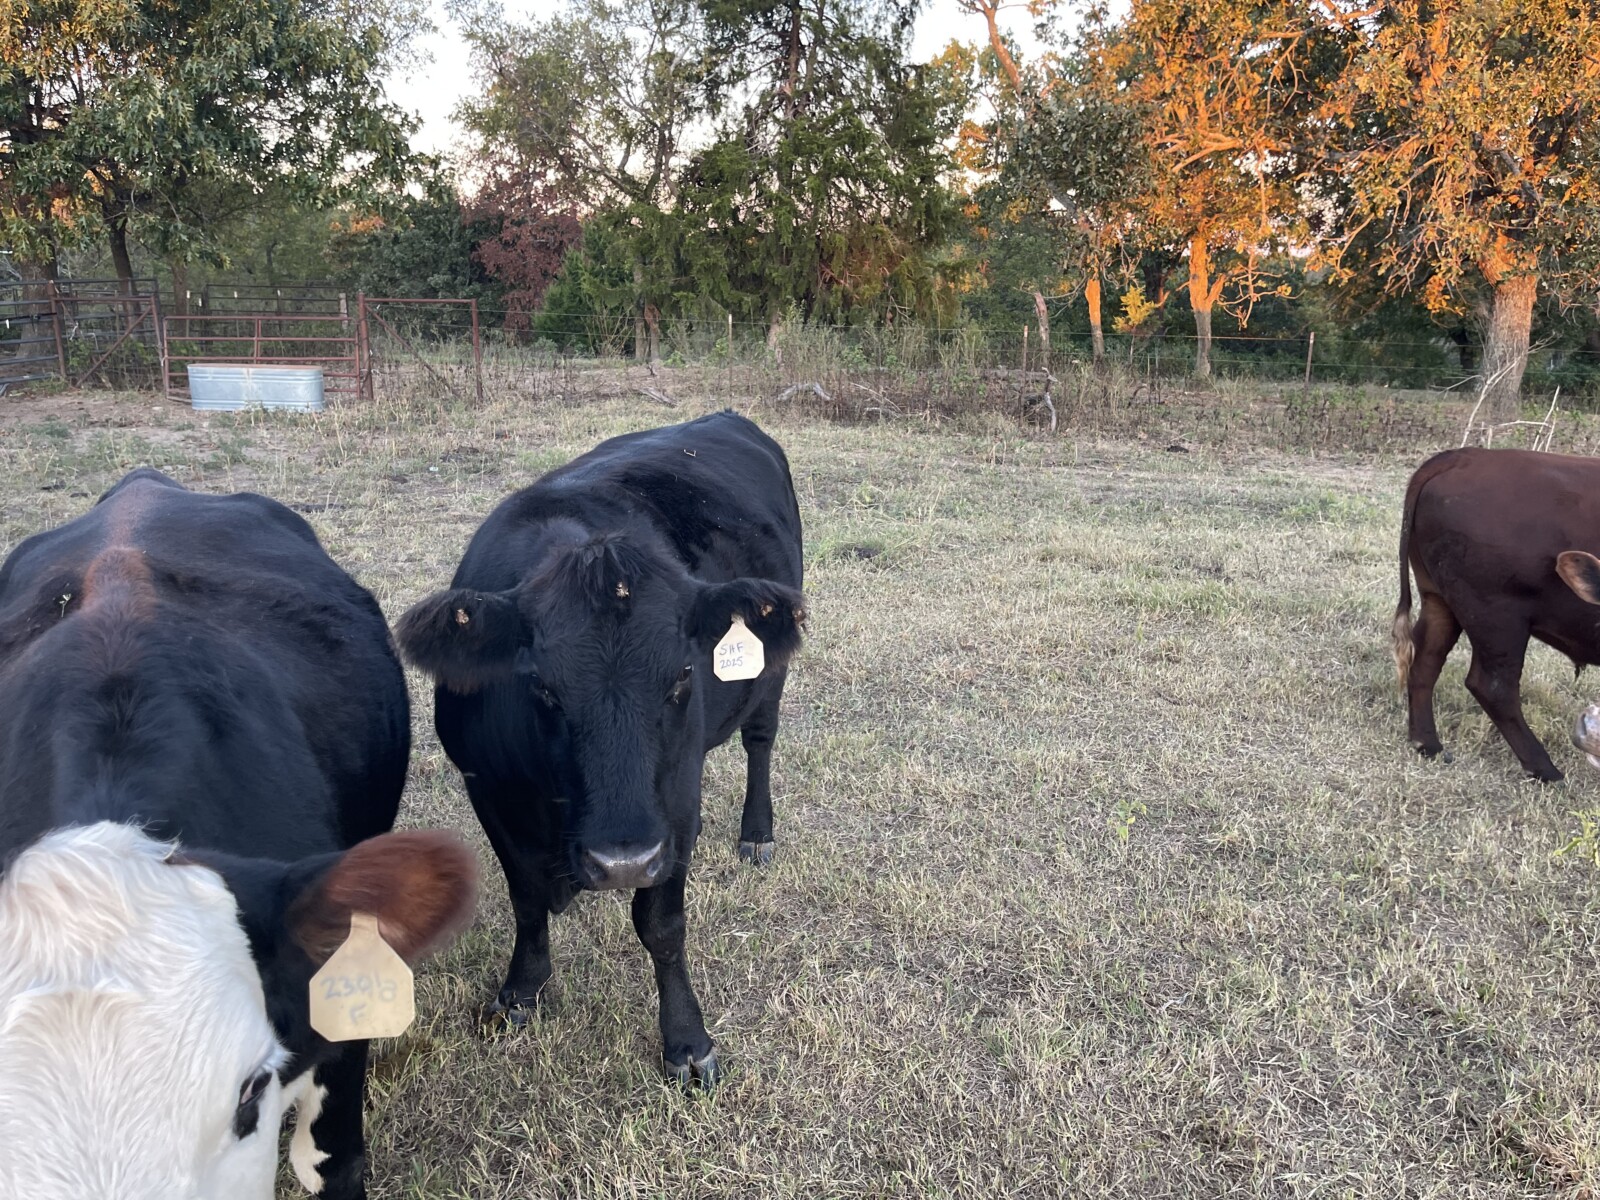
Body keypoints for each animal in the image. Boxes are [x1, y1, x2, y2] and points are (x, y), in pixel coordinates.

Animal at [395, 410, 804, 1086]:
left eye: (682, 676)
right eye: (541, 685)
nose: (624, 861)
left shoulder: (676, 799)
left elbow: (661, 926)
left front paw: (686, 1042)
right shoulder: (488, 789)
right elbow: (527, 898)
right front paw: (521, 991)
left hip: (769, 672)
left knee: (760, 740)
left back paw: (757, 834)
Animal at [1394, 447, 1600, 781]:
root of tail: (1463, 456)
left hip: (1440, 599)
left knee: (1425, 661)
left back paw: (1427, 744)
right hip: (1497, 616)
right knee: (1493, 687)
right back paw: (1545, 768)